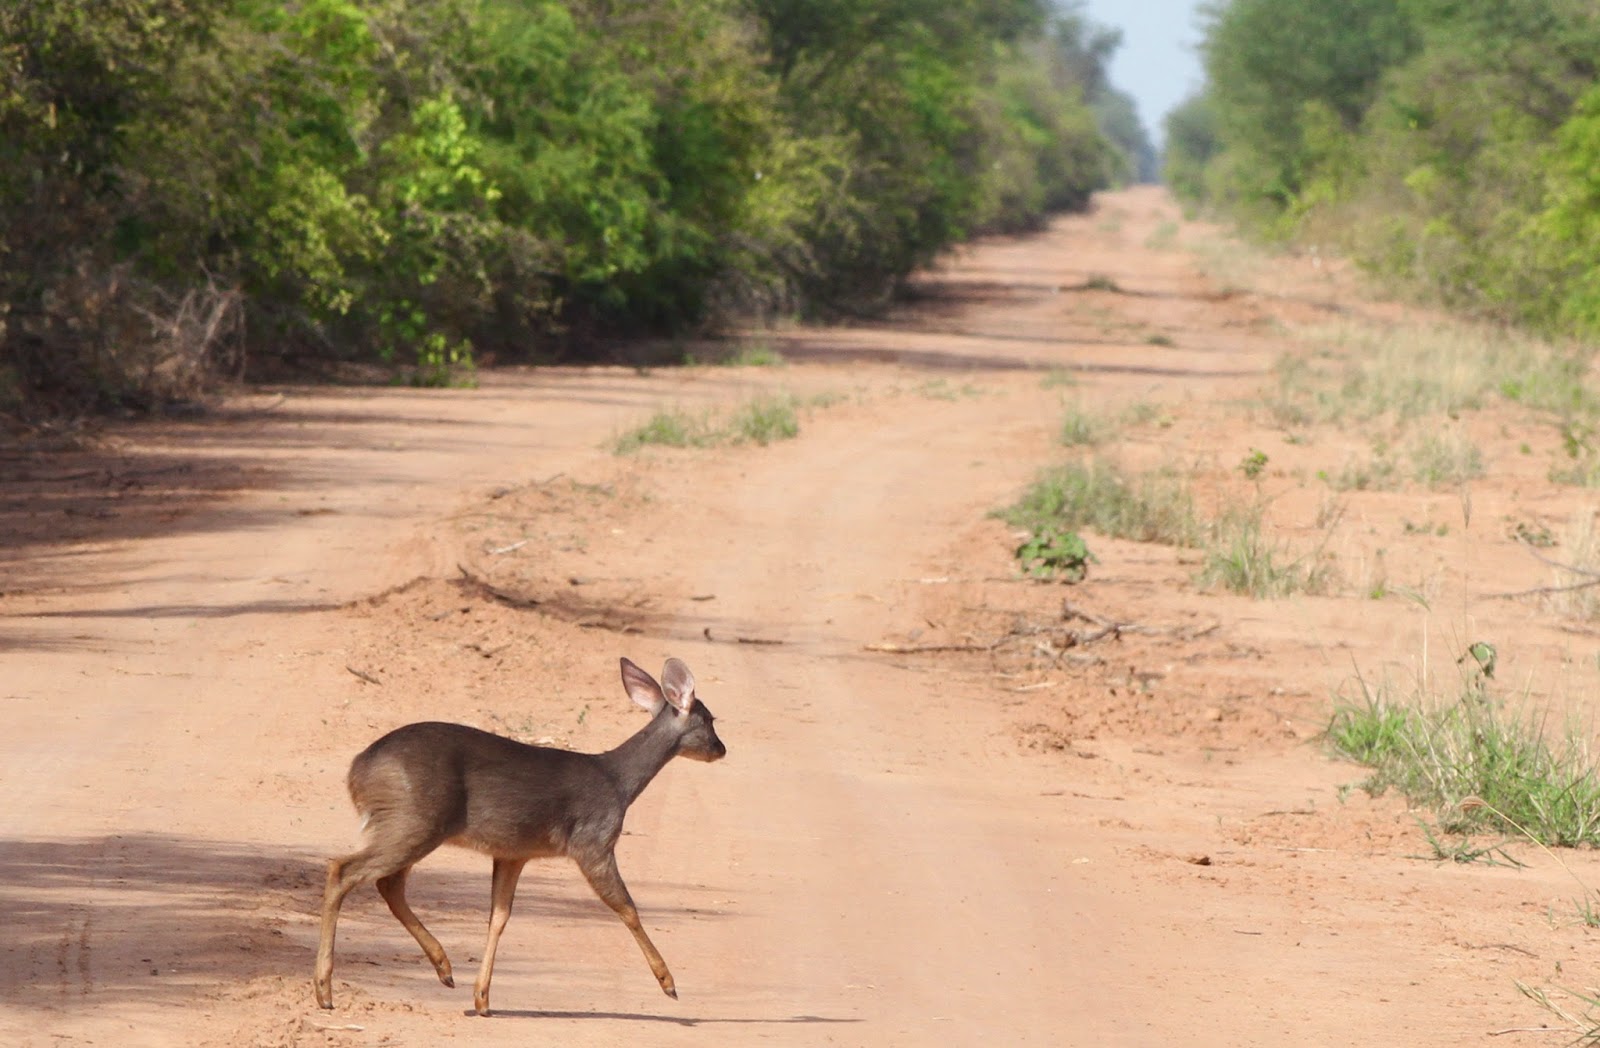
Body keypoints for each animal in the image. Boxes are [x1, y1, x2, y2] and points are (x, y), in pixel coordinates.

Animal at [312, 656, 726, 1017]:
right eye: (710, 719)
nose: (721, 749)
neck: (618, 784)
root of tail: (358, 771)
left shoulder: (513, 852)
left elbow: (499, 916)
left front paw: (482, 998)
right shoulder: (593, 840)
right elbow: (626, 907)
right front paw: (668, 982)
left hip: (409, 824)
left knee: (388, 884)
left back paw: (444, 968)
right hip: (413, 820)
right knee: (343, 869)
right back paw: (324, 990)